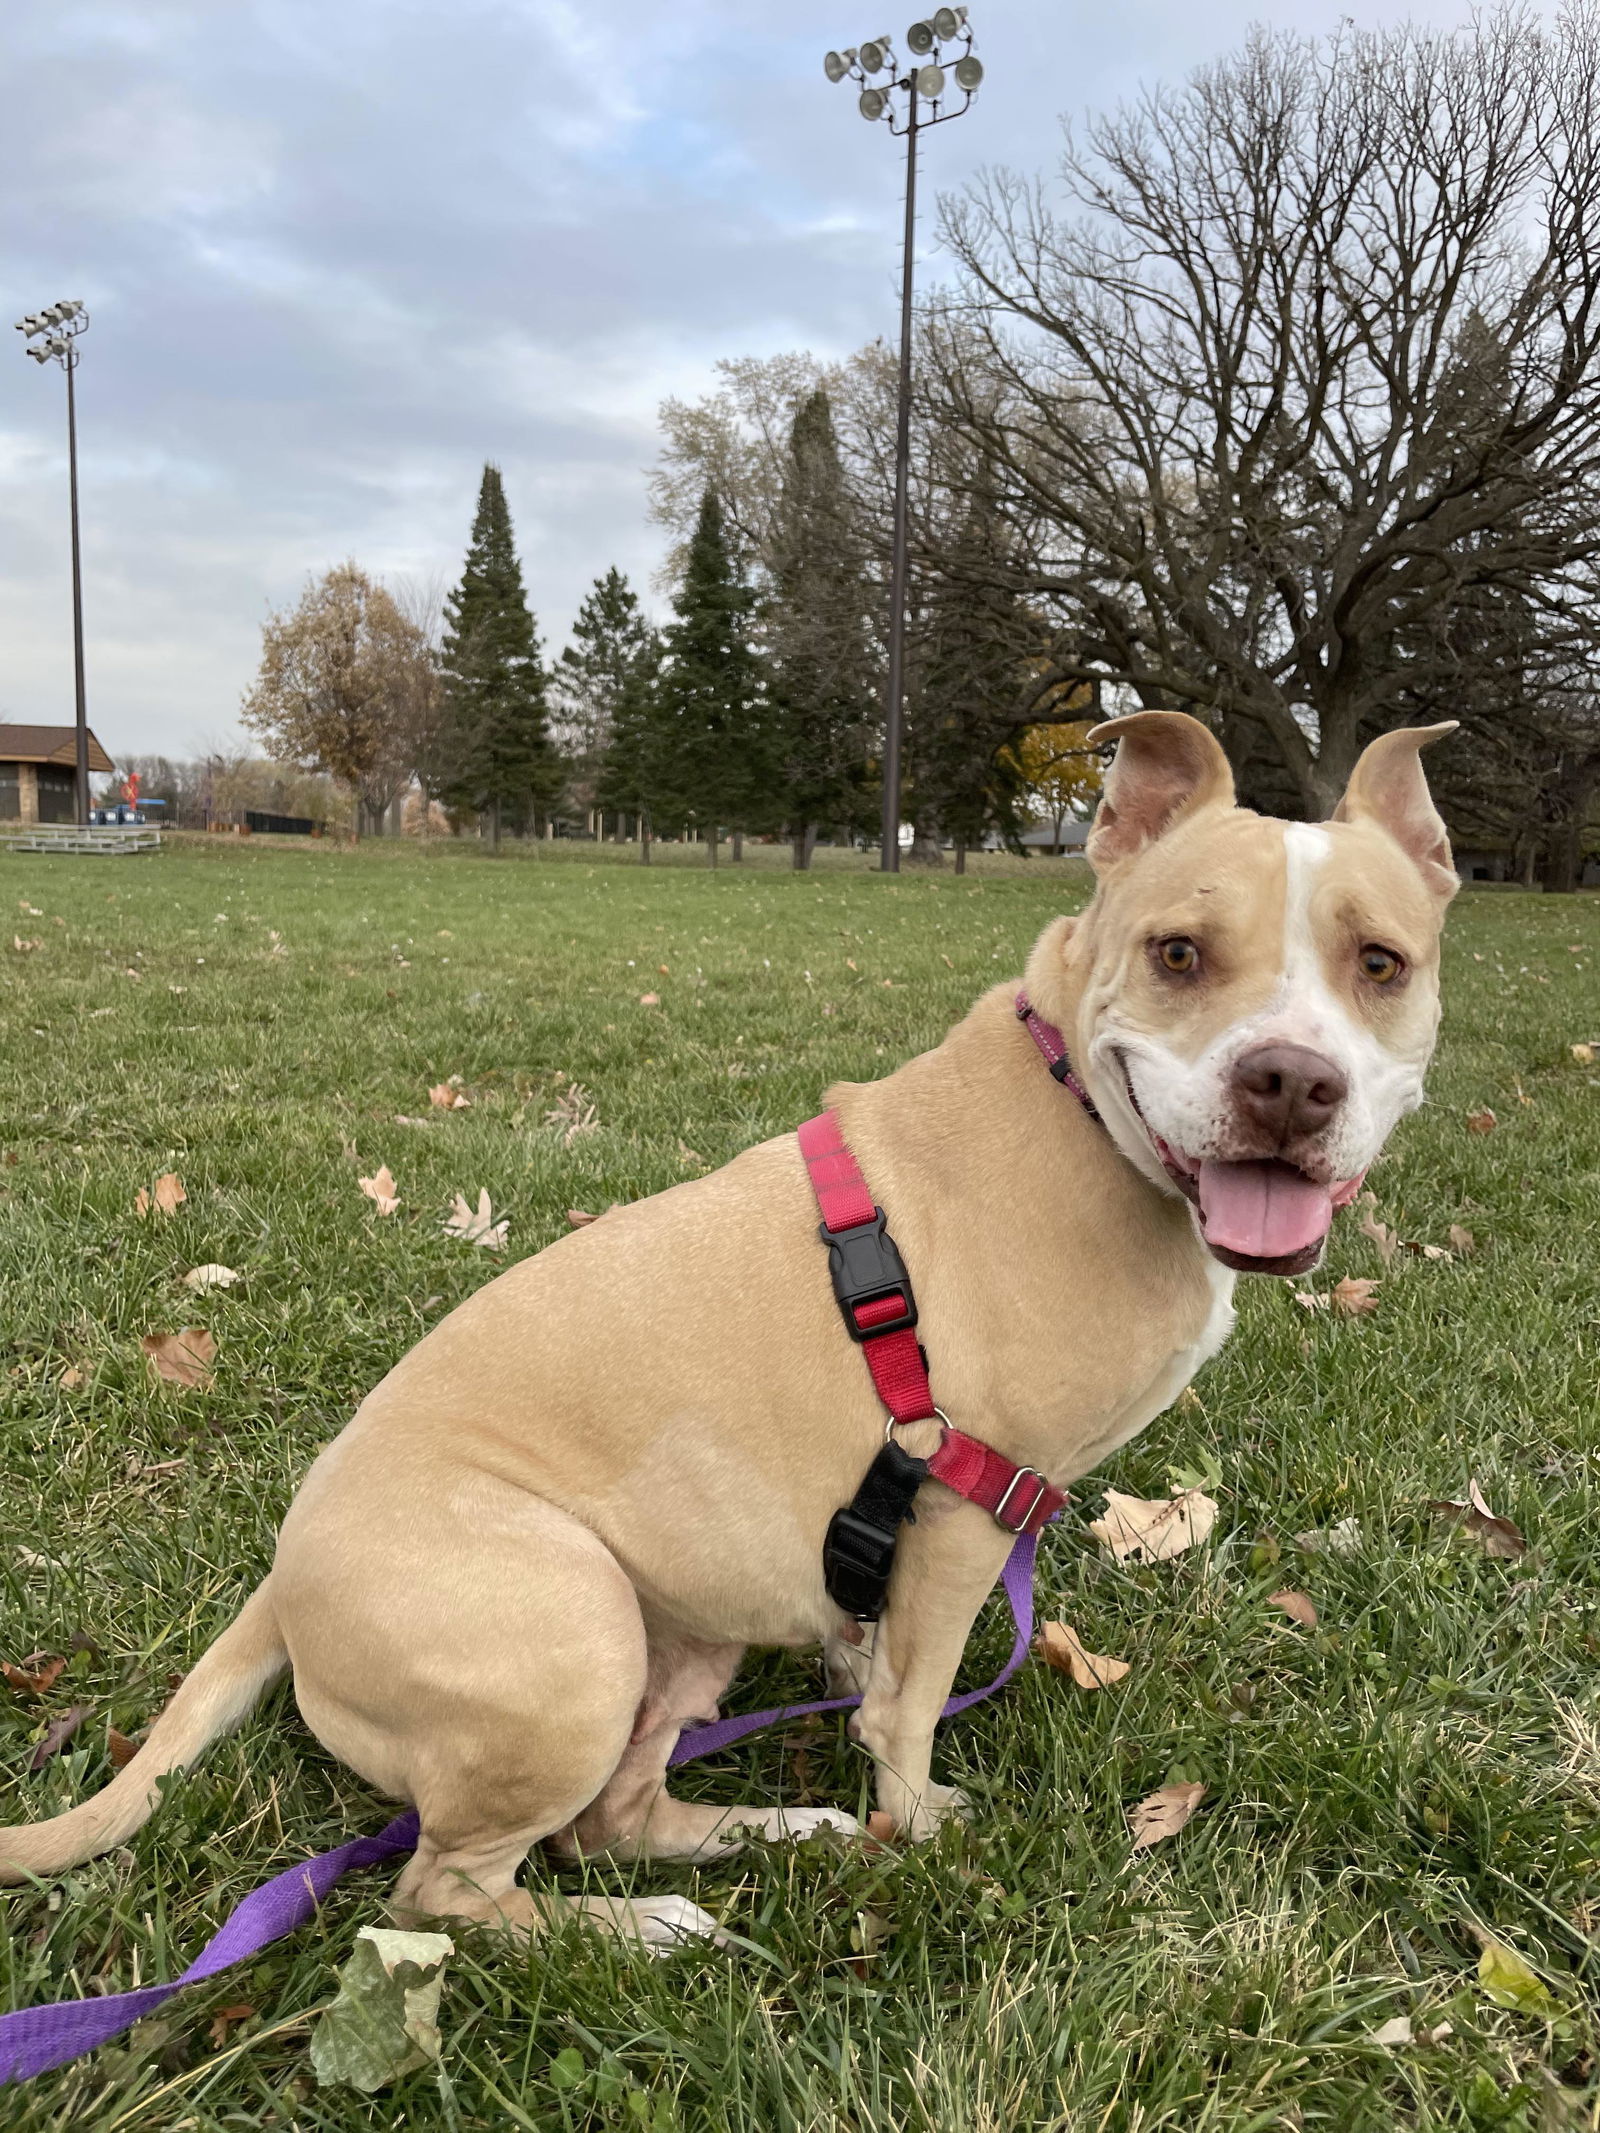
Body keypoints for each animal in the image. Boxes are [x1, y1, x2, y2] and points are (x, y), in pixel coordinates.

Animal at [0, 712, 1459, 1953]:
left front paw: (859, 1749)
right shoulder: (968, 1505)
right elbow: (912, 1707)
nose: (1289, 1081)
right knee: (448, 1893)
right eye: (1177, 954)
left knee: (611, 1817)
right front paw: (914, 1826)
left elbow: (871, 1671)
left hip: (679, 1629)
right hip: (572, 1631)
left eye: (1379, 964)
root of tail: (280, 1580)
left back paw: (772, 1832)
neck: (1079, 1102)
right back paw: (647, 1930)